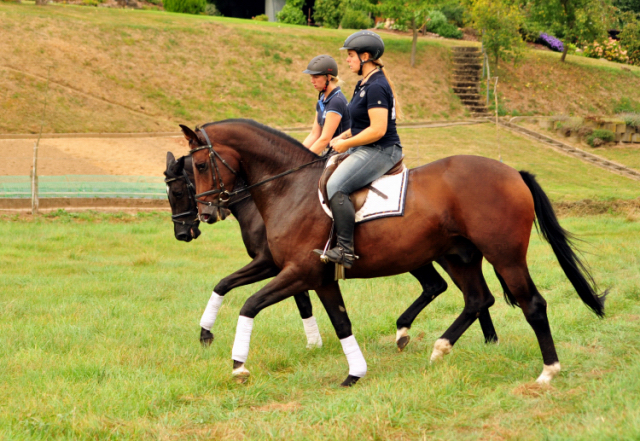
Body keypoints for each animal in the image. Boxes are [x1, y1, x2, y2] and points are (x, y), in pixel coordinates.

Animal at [164, 151, 500, 350]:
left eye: (178, 191)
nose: (183, 232)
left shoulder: (275, 265)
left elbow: (291, 300)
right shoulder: (285, 266)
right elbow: (233, 286)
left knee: (453, 289)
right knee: (454, 289)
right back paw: (484, 337)